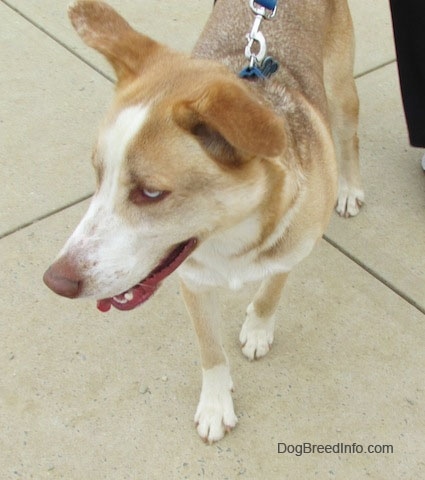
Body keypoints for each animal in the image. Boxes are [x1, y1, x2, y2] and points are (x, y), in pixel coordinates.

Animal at [42, 0, 362, 442]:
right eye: (98, 173)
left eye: (151, 193)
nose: (55, 282)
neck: (231, 235)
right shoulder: (192, 282)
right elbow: (210, 350)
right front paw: (215, 404)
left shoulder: (293, 248)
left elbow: (270, 291)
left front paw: (258, 328)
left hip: (342, 90)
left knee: (349, 136)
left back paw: (350, 187)